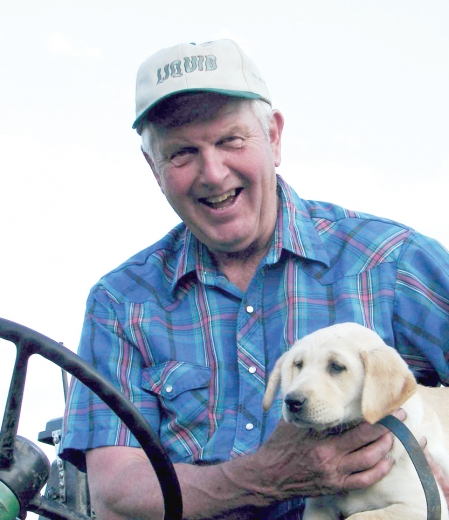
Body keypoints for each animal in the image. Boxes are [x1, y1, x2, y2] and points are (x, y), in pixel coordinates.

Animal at [262, 322, 448, 516]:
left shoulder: (422, 505)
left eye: (336, 367)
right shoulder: (318, 508)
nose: (292, 401)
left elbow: (360, 516)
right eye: (298, 364)